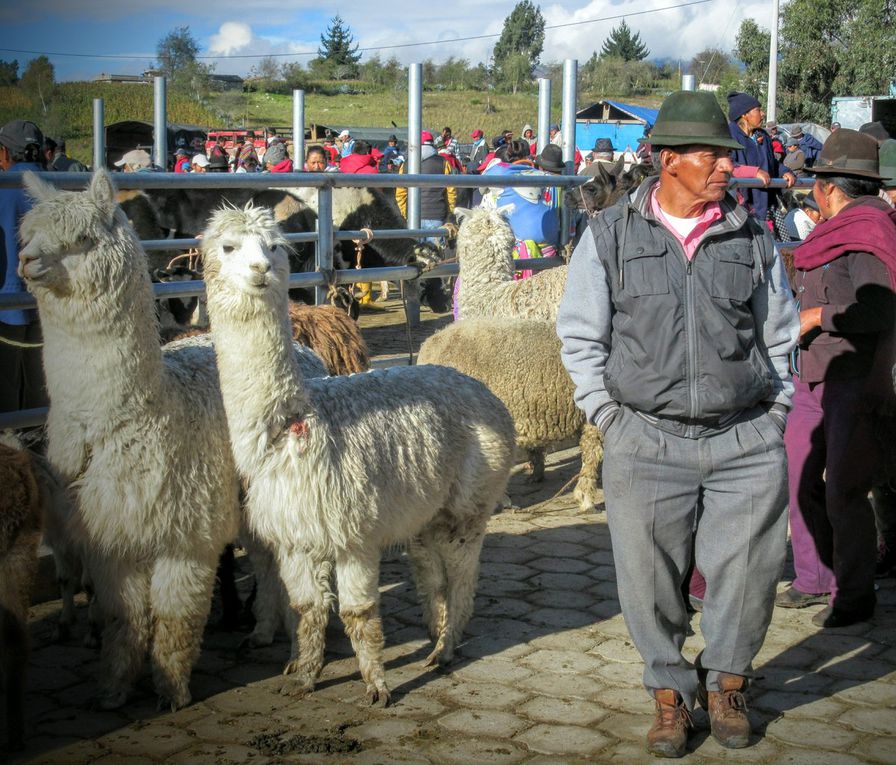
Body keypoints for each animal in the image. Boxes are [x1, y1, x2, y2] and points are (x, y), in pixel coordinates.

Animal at [18, 169, 326, 712]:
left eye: (83, 238)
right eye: (27, 235)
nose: (27, 260)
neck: (142, 417)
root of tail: (309, 353)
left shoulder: (186, 534)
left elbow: (174, 617)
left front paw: (172, 692)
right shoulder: (111, 536)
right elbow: (122, 617)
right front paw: (114, 690)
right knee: (265, 557)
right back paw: (262, 631)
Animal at [200, 201, 516, 704]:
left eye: (273, 246)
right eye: (228, 247)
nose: (260, 270)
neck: (294, 427)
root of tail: (483, 390)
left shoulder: (354, 534)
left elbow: (358, 613)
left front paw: (377, 687)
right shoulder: (295, 537)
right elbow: (306, 609)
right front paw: (304, 677)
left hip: (471, 499)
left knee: (464, 572)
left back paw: (445, 649)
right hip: (424, 511)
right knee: (433, 572)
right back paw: (436, 632)